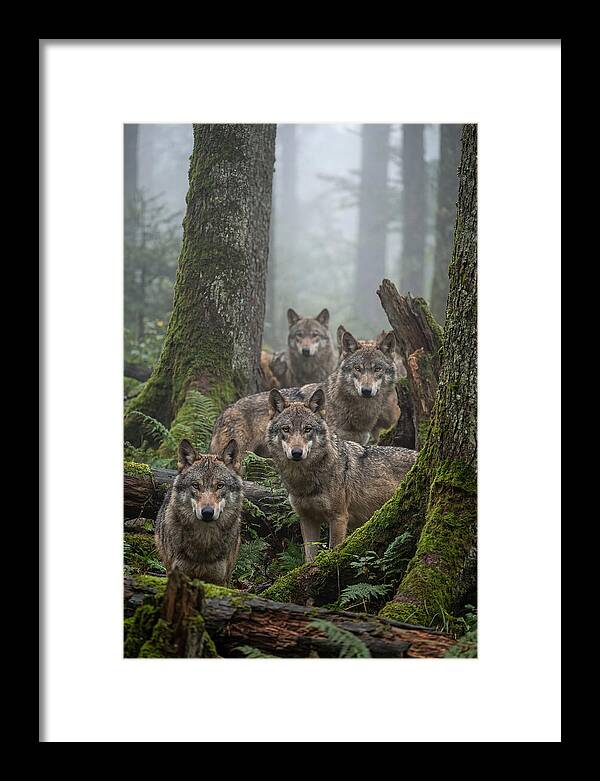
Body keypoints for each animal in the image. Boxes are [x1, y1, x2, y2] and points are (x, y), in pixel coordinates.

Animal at [266, 387, 417, 561]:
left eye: (307, 429)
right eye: (286, 429)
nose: (297, 453)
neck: (303, 480)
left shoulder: (338, 518)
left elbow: (333, 550)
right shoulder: (307, 519)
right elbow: (309, 557)